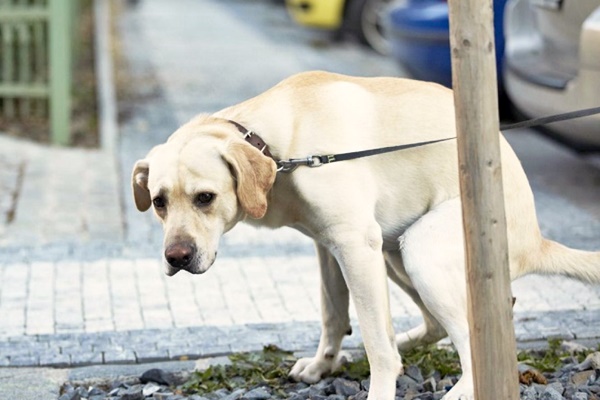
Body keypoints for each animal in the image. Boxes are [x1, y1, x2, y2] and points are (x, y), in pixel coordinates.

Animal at [132, 71, 600, 400]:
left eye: (205, 198)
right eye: (158, 202)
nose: (176, 258)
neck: (280, 149)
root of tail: (537, 240)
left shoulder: (354, 245)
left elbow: (376, 344)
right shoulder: (329, 246)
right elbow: (333, 315)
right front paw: (323, 365)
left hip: (421, 250)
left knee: (473, 342)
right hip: (394, 254)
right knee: (442, 325)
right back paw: (408, 340)